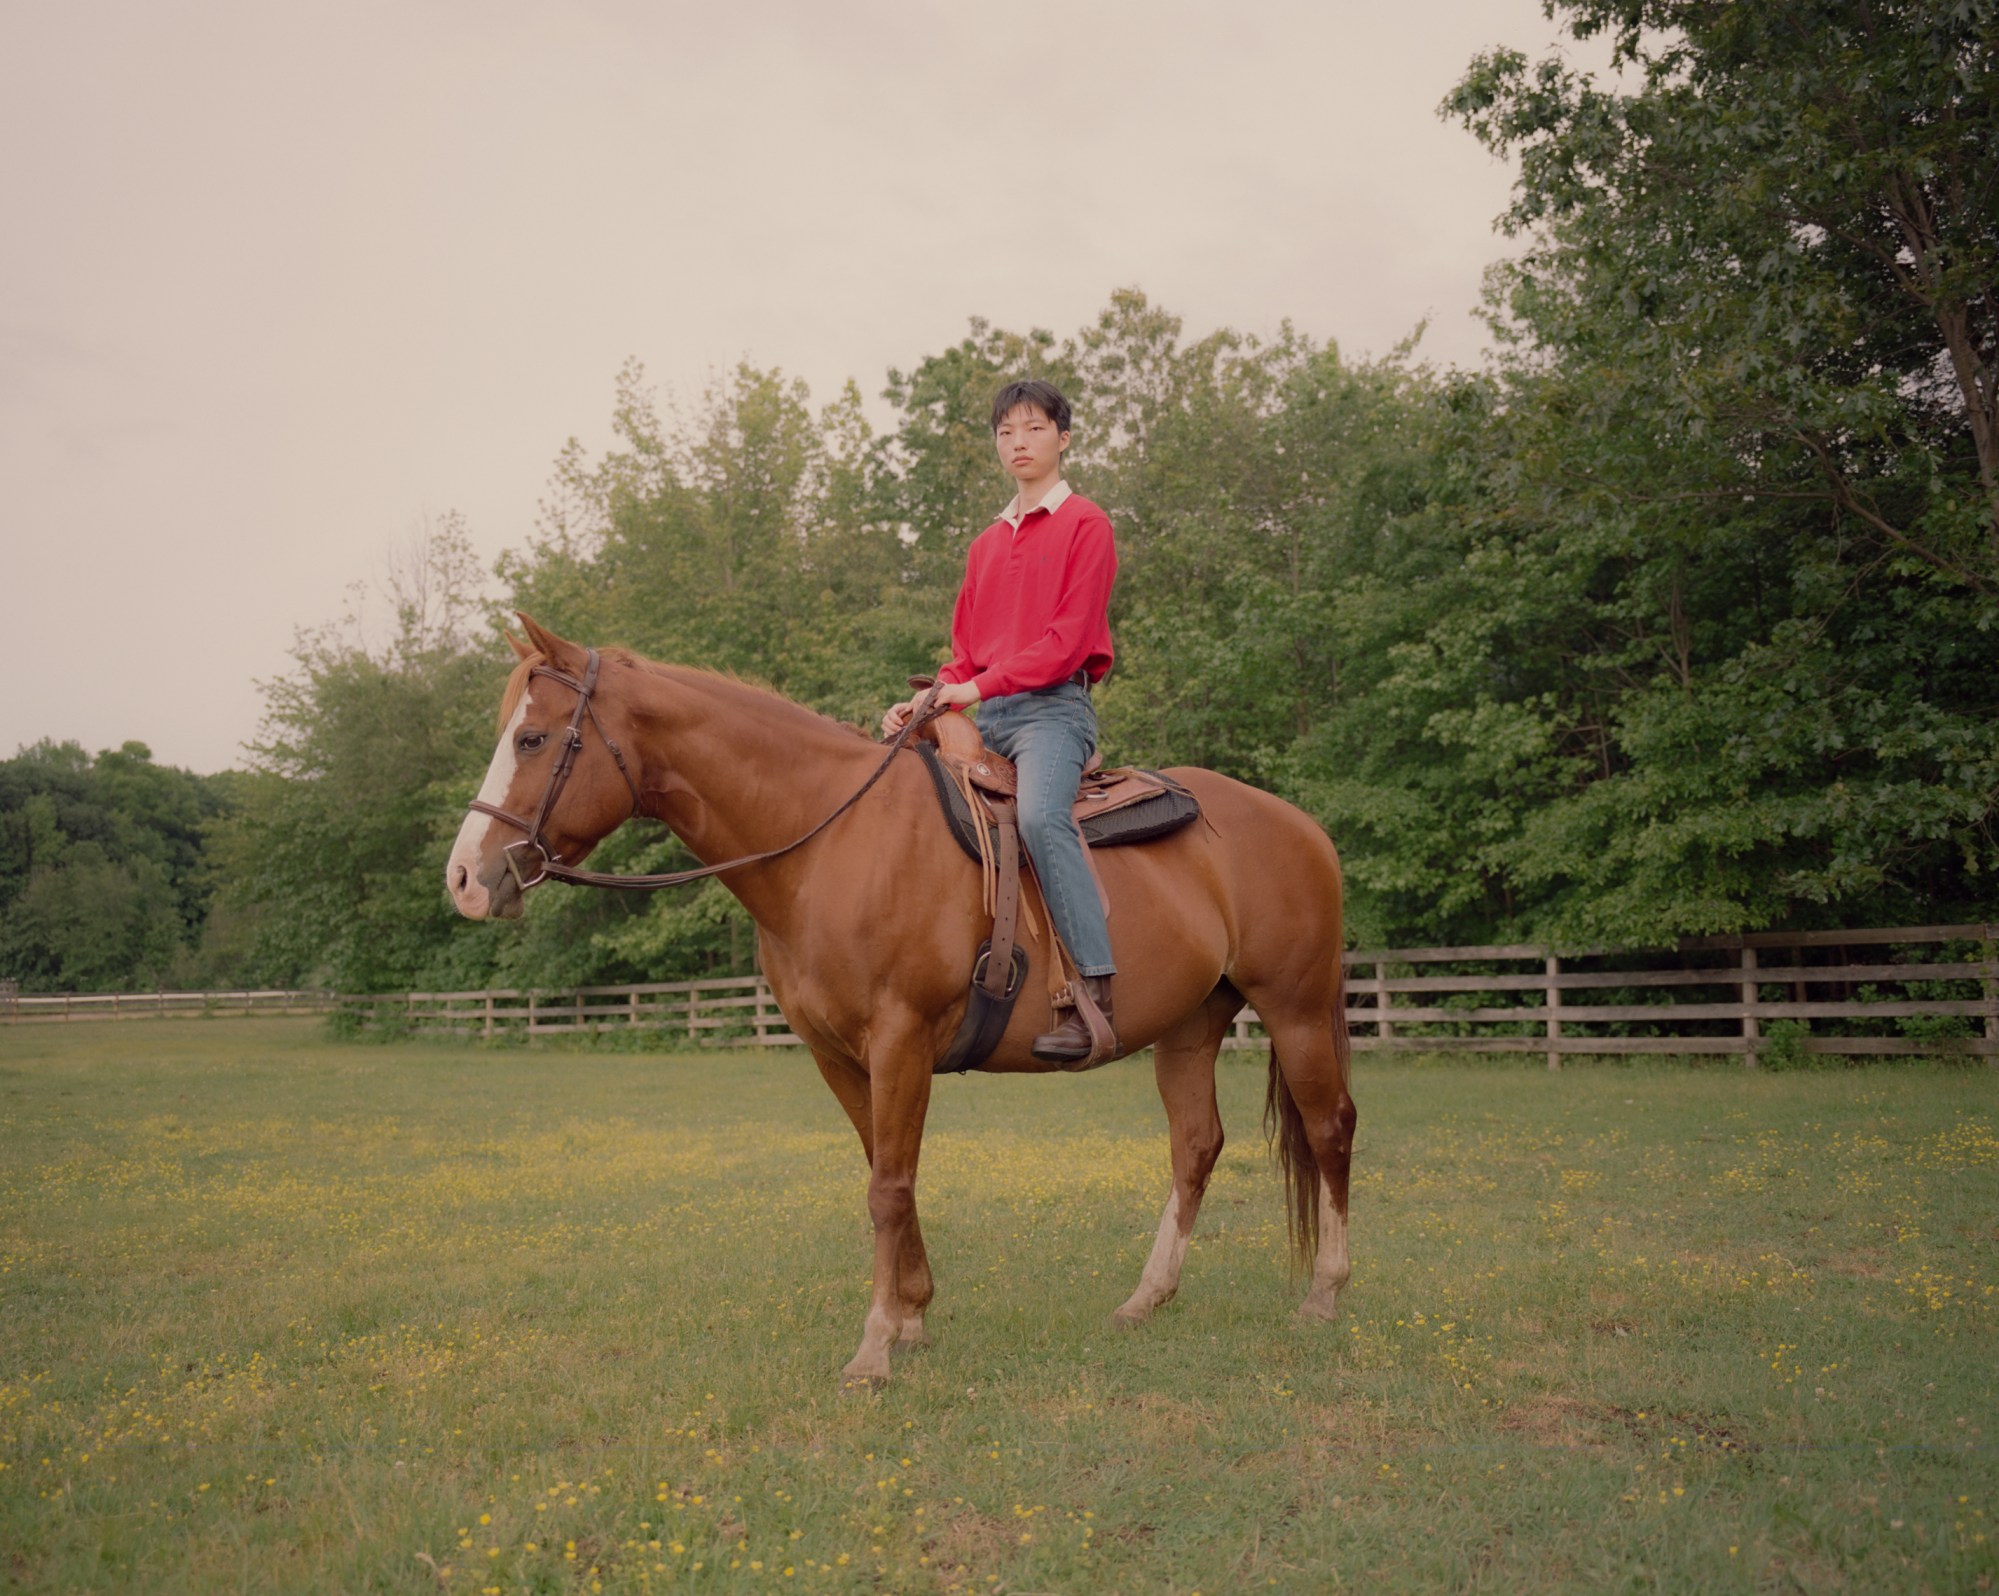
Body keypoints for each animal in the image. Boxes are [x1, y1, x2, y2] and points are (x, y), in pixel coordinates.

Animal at [449, 620, 1359, 1392]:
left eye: (532, 738)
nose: (465, 878)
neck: (830, 844)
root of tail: (1301, 824)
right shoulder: (837, 1055)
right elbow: (888, 1173)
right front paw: (914, 1317)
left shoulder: (900, 1041)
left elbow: (887, 1187)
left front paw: (875, 1348)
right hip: (1190, 1025)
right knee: (1195, 1144)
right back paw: (1146, 1298)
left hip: (1295, 1007)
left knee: (1328, 1128)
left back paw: (1323, 1295)